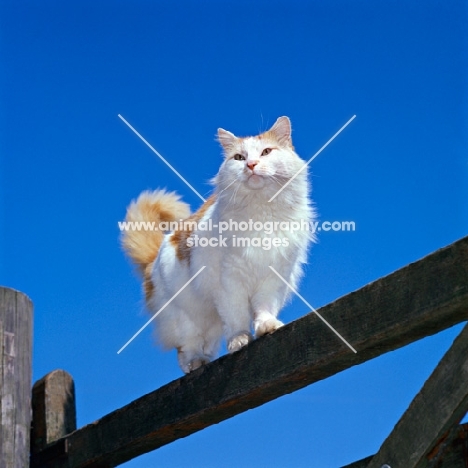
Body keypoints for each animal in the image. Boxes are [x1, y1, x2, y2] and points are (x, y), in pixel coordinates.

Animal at [122, 117, 316, 372]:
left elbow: (264, 307)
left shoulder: (274, 278)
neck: (262, 212)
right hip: (185, 316)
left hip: (210, 323)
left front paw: (266, 326)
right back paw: (195, 363)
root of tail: (153, 257)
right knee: (185, 348)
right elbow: (236, 317)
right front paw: (240, 339)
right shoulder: (227, 282)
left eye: (266, 152)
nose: (251, 165)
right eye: (239, 157)